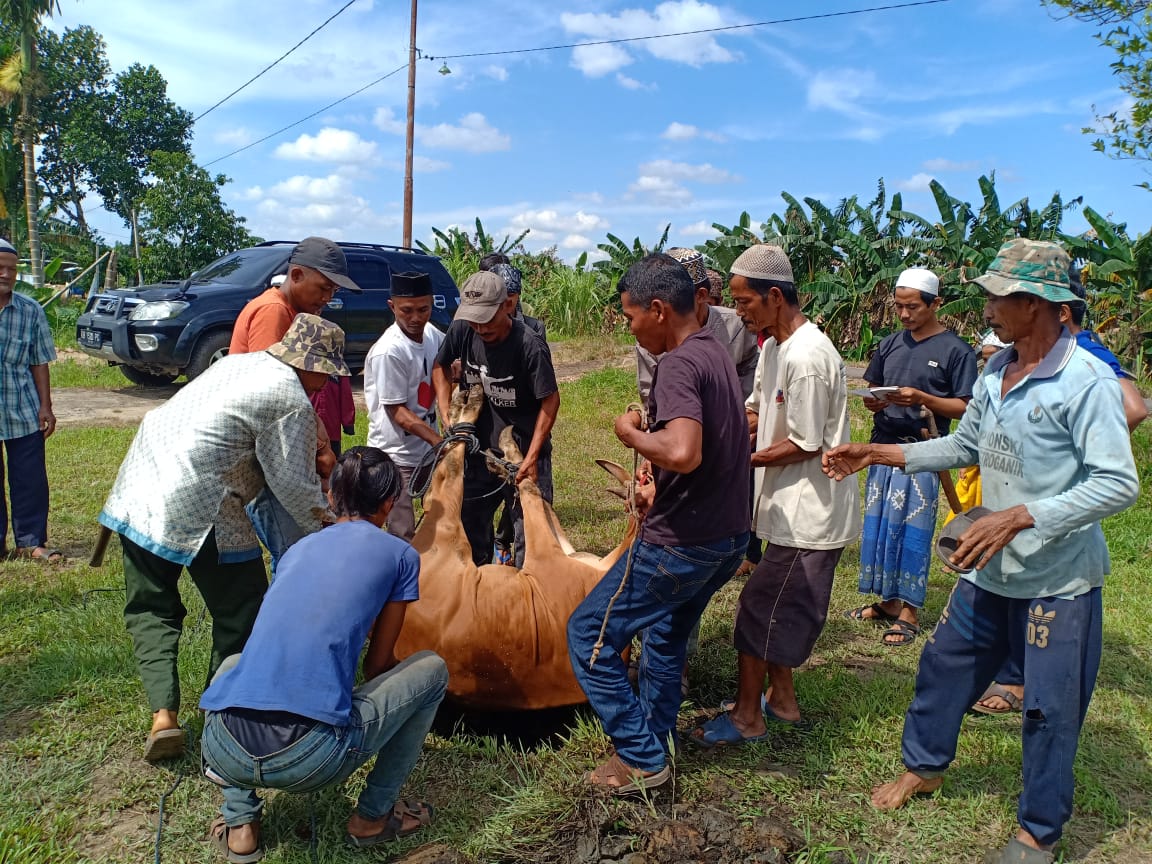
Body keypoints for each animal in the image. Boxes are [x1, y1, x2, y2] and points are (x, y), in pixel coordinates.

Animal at [396, 384, 640, 709]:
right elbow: (539, 496)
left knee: (449, 468)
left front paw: (508, 458)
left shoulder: (546, 551)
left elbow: (531, 490)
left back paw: (467, 407)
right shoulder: (559, 547)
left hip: (444, 525)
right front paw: (505, 467)